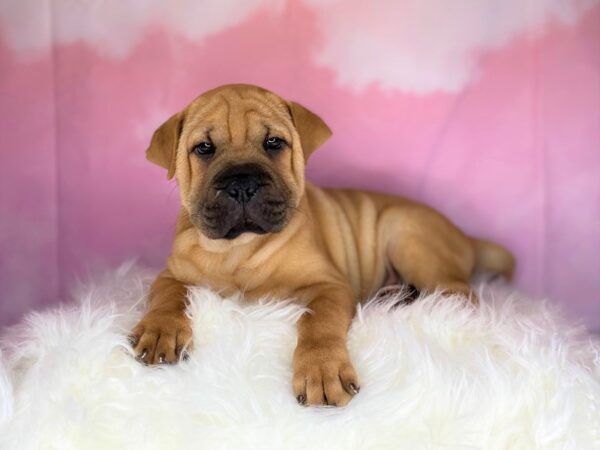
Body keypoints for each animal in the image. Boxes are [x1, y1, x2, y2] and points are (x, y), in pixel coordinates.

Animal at [131, 83, 516, 408]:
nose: (241, 183)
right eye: (204, 149)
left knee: (458, 294)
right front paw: (160, 331)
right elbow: (167, 297)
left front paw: (321, 371)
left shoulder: (329, 285)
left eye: (274, 143)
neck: (239, 247)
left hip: (405, 233)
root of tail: (466, 237)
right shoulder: (172, 273)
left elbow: (317, 323)